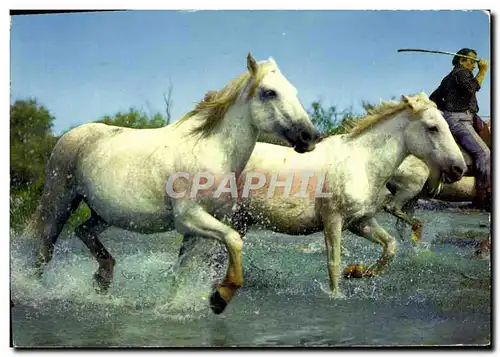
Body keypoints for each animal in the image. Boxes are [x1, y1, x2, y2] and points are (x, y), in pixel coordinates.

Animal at [27, 52, 320, 314]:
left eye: (293, 91)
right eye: (269, 92)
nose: (311, 136)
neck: (210, 149)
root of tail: (71, 135)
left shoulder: (197, 228)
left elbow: (181, 272)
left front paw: (175, 303)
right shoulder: (189, 218)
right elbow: (234, 240)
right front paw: (220, 297)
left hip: (104, 214)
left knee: (83, 232)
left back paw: (103, 278)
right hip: (60, 202)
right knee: (44, 250)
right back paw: (38, 292)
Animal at [180, 92, 468, 294]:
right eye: (433, 127)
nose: (459, 168)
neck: (362, 162)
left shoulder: (360, 222)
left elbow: (391, 246)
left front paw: (358, 272)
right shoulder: (333, 220)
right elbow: (333, 265)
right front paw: (337, 294)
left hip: (239, 222)